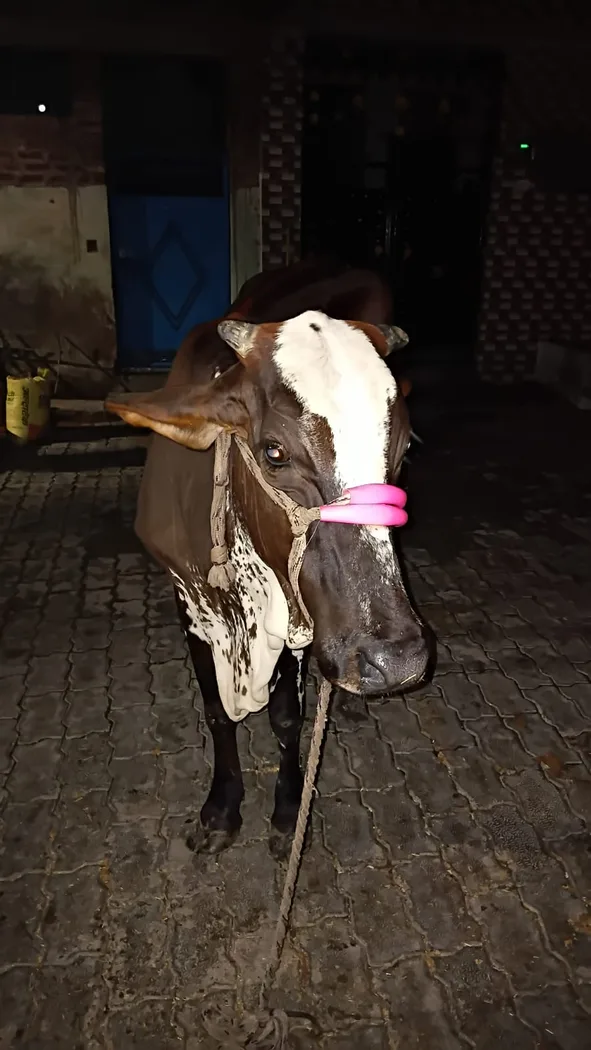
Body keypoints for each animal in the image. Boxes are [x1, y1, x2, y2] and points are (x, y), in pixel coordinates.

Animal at [106, 259, 428, 859]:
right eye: (274, 452)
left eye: (404, 450)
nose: (397, 659)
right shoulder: (188, 600)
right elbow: (216, 711)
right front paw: (221, 807)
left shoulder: (299, 622)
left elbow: (285, 717)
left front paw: (285, 810)